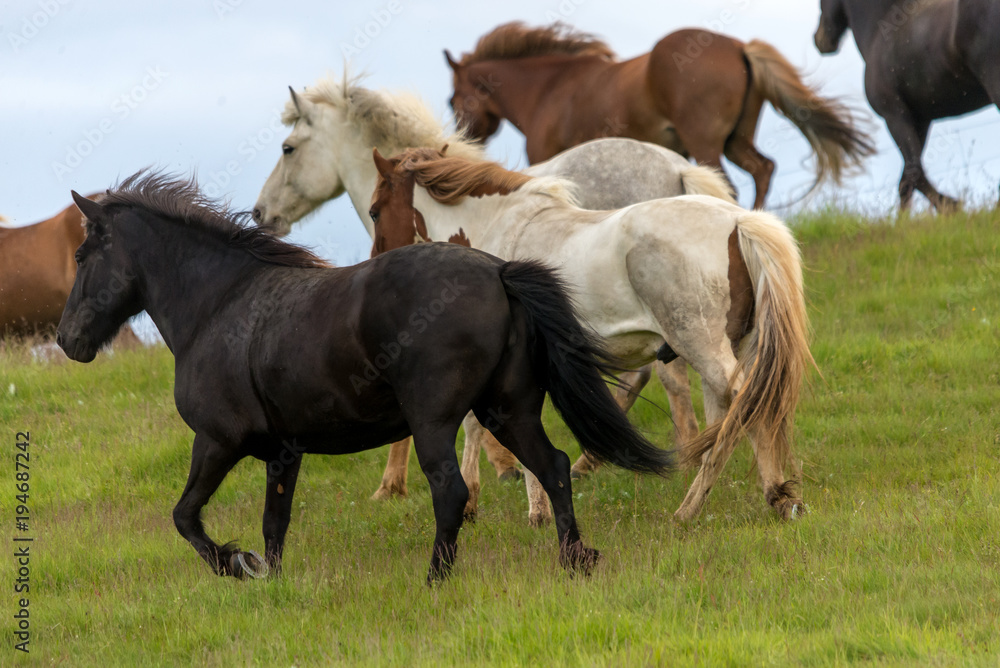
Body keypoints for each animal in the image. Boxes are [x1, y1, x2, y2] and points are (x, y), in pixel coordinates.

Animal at [56, 172, 673, 584]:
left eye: (83, 255)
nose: (67, 341)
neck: (220, 306)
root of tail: (499, 273)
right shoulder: (284, 452)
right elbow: (274, 523)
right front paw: (270, 581)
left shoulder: (216, 442)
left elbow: (186, 516)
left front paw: (237, 565)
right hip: (509, 410)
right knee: (554, 468)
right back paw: (575, 560)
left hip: (435, 422)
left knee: (453, 492)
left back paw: (435, 579)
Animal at [369, 147, 815, 523]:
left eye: (373, 211)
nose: (377, 267)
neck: (503, 225)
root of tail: (738, 220)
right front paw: (535, 508)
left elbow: (479, 426)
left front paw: (500, 508)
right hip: (728, 348)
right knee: (733, 414)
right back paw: (742, 499)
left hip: (701, 345)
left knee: (746, 403)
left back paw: (740, 501)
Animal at [445, 21, 875, 209]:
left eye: (452, 99)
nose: (459, 140)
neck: (550, 88)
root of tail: (739, 47)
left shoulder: (547, 160)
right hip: (735, 142)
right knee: (762, 170)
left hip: (707, 145)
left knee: (731, 185)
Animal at [815, 0, 1000, 211]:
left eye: (820, 2)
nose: (819, 40)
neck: (880, 31)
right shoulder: (921, 121)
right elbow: (906, 181)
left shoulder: (895, 116)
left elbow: (914, 171)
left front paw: (950, 206)